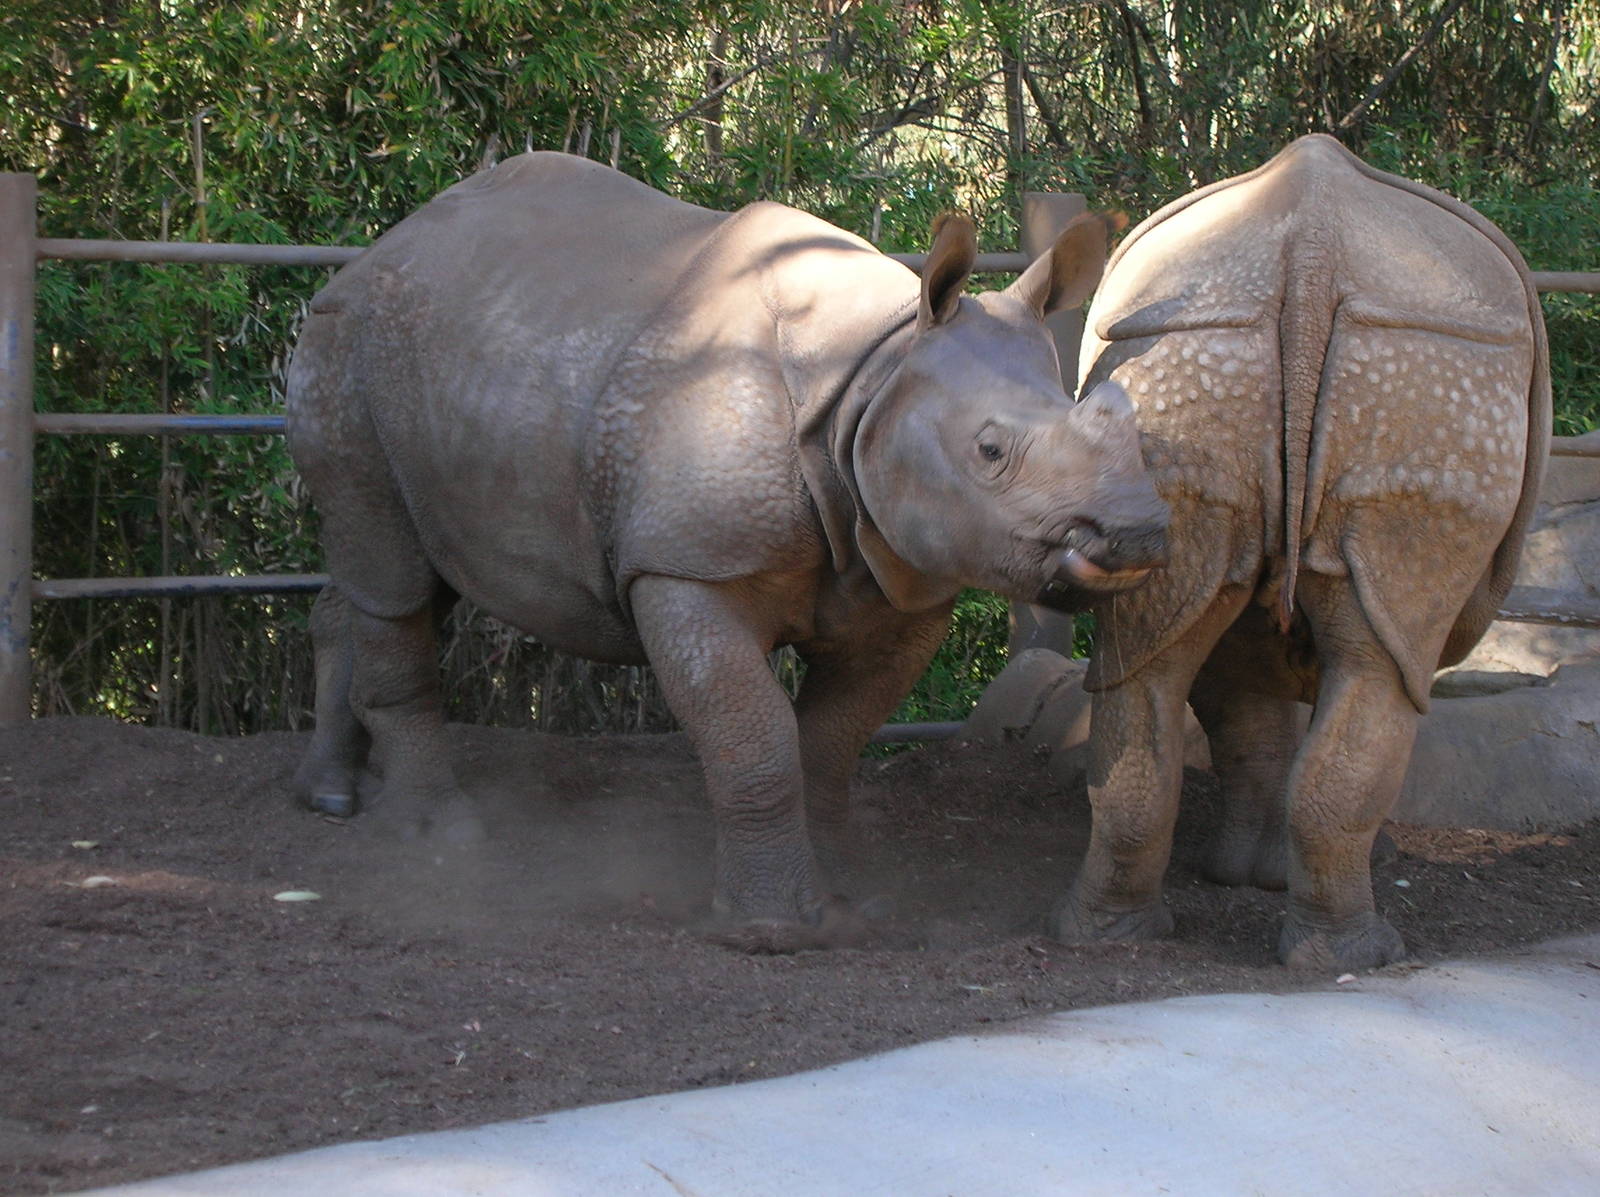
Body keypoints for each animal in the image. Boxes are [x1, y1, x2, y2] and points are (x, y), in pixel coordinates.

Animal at [286, 152, 1168, 943]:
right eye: (989, 450)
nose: (1136, 532)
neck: (875, 373)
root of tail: (373, 254)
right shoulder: (686, 567)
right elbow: (756, 738)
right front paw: (772, 930)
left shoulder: (901, 577)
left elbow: (831, 743)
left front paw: (845, 898)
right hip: (343, 347)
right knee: (393, 575)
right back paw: (436, 833)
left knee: (390, 570)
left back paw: (331, 797)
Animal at [1052, 134, 1550, 969]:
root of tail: (1313, 247)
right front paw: (1270, 877)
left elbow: (1240, 714)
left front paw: (1243, 876)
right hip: (1430, 356)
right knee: (1384, 670)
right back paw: (1364, 955)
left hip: (1182, 346)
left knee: (1140, 662)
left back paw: (1114, 936)